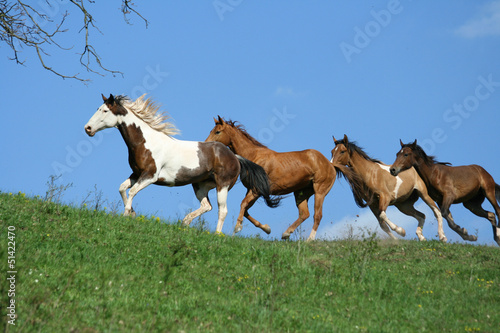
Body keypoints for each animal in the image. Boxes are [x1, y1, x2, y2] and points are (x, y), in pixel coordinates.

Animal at [83, 93, 278, 232]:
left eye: (105, 111)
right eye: (98, 108)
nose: (88, 128)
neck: (146, 142)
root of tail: (235, 157)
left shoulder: (150, 176)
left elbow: (131, 192)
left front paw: (126, 215)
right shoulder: (136, 174)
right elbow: (123, 188)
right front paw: (132, 213)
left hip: (222, 185)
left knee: (222, 210)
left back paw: (217, 235)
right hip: (200, 186)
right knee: (206, 206)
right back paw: (185, 222)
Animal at [203, 115, 336, 240]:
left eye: (217, 132)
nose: (207, 146)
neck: (254, 156)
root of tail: (330, 165)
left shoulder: (256, 190)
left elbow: (243, 204)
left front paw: (237, 228)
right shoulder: (253, 190)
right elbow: (246, 210)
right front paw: (266, 228)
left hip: (320, 192)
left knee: (317, 215)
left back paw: (309, 240)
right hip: (301, 193)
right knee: (304, 214)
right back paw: (286, 233)